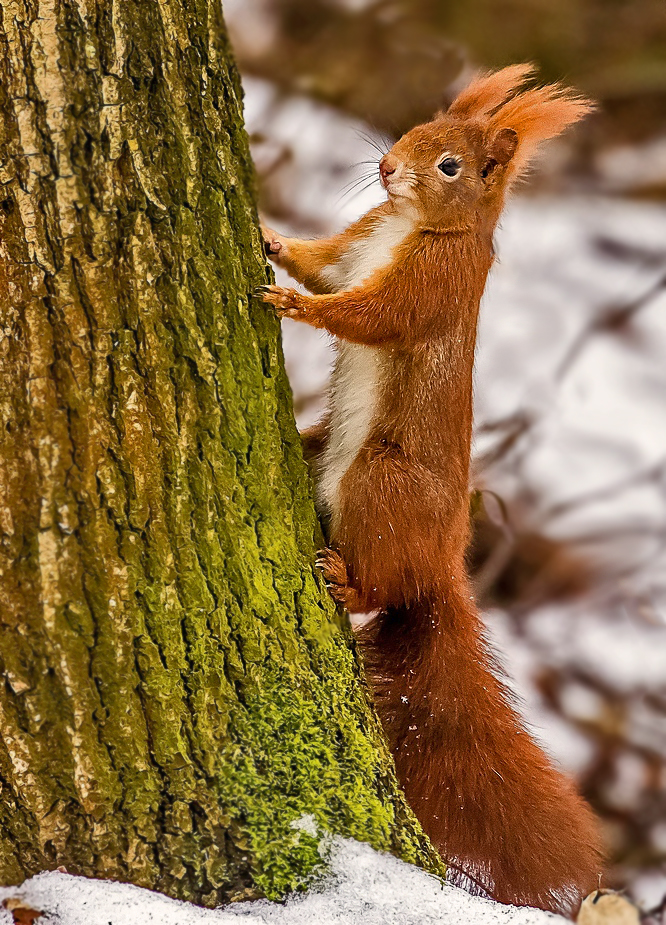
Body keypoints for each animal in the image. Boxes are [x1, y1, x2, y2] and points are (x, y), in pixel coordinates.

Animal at [260, 67, 600, 916]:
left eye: (449, 167)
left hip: (380, 481)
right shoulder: (357, 245)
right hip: (321, 450)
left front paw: (296, 305)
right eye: (415, 128)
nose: (385, 169)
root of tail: (442, 560)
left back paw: (345, 579)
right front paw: (274, 239)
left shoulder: (432, 286)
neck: (412, 225)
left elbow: (366, 313)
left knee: (383, 584)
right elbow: (324, 263)